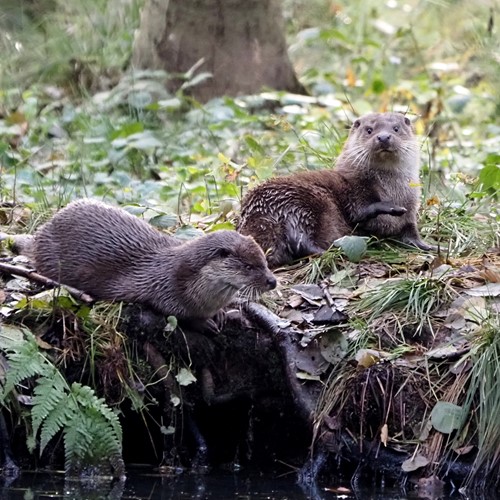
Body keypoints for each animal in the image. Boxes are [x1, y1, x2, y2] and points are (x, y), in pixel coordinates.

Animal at [20, 200, 278, 320]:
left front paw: (222, 314)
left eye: (264, 262)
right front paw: (207, 323)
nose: (272, 281)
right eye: (248, 266)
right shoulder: (166, 293)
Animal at [238, 111, 434, 268]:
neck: (392, 188)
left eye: (396, 128)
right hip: (305, 202)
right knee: (302, 240)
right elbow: (359, 212)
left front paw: (426, 246)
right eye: (369, 130)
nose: (384, 137)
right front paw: (391, 207)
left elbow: (410, 233)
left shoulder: (411, 208)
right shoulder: (355, 189)